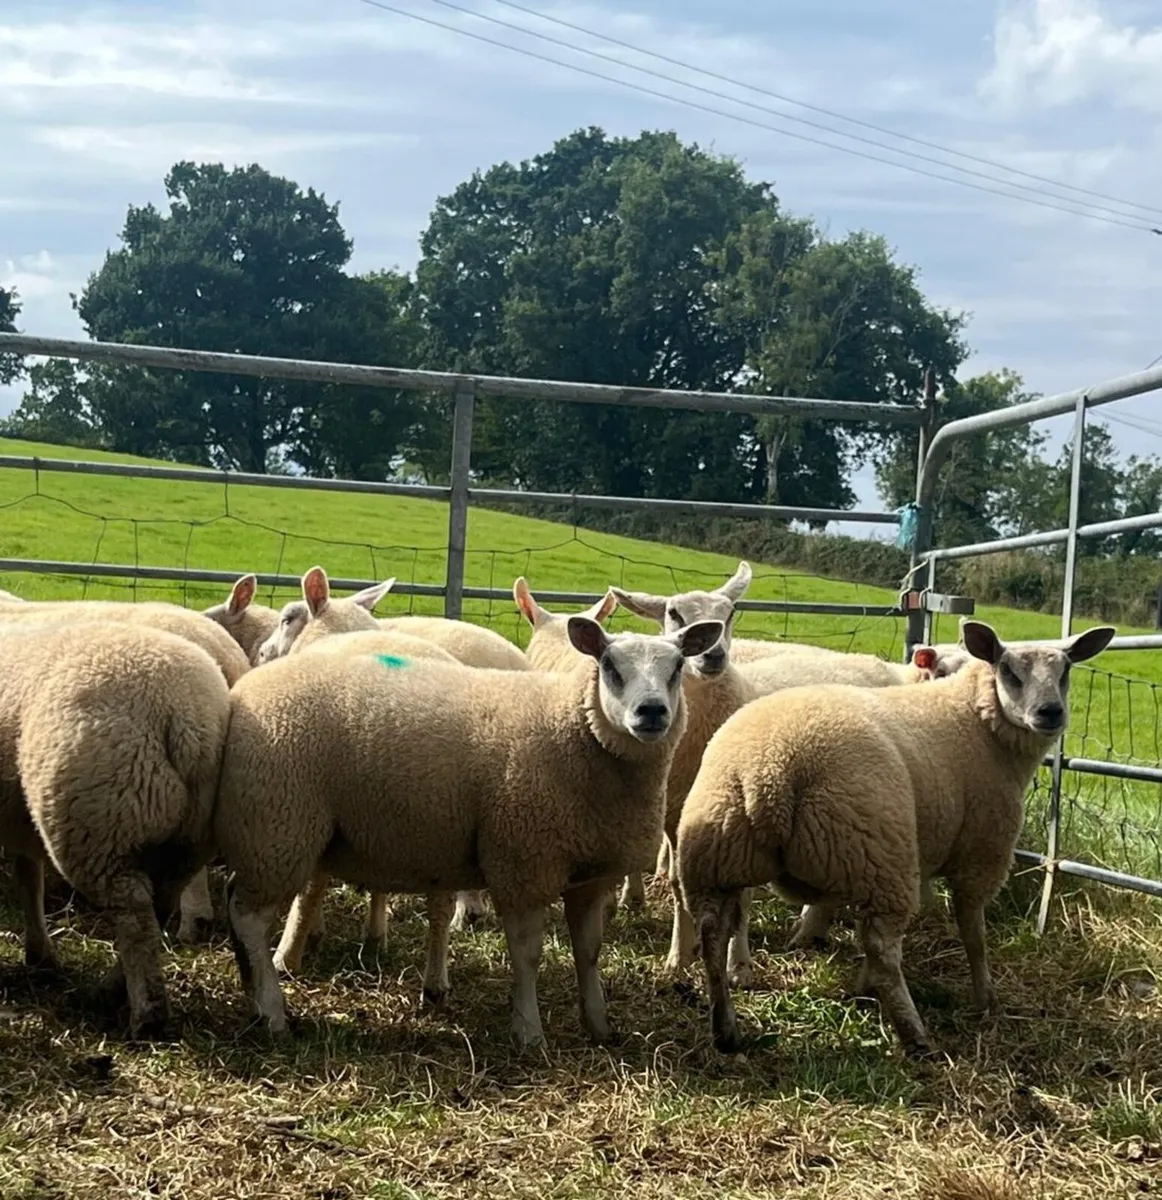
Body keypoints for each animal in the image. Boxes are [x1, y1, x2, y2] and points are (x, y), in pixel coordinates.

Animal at [0, 620, 231, 1038]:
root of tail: (188, 722)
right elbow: (28, 880)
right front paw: (40, 956)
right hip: (186, 838)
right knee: (158, 906)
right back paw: (109, 992)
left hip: (102, 825)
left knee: (135, 917)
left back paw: (146, 1016)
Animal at [215, 612, 725, 1047]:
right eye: (610, 666)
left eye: (678, 666)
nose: (652, 712)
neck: (575, 732)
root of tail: (247, 689)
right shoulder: (522, 861)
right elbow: (528, 953)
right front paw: (528, 1032)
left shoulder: (591, 875)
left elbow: (589, 951)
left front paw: (599, 1025)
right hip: (278, 826)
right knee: (247, 916)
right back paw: (272, 1011)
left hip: (289, 831)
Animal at [675, 619, 1116, 1057]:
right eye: (1008, 670)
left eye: (1066, 670)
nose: (1050, 712)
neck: (975, 720)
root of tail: (768, 772)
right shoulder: (981, 852)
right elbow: (973, 933)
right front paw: (986, 998)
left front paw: (850, 974)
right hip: (878, 857)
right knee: (882, 947)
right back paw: (915, 1035)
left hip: (719, 856)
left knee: (713, 935)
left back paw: (725, 1028)